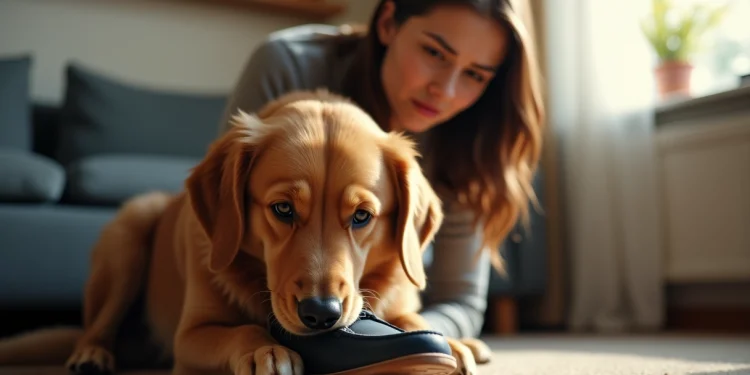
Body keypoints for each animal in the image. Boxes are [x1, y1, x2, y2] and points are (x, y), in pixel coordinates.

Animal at [0, 89, 490, 374]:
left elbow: (413, 318)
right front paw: (264, 348)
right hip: (130, 229)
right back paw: (92, 355)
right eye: (282, 209)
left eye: (362, 217)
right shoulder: (190, 336)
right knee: (96, 324)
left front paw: (451, 343)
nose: (321, 314)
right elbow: (240, 331)